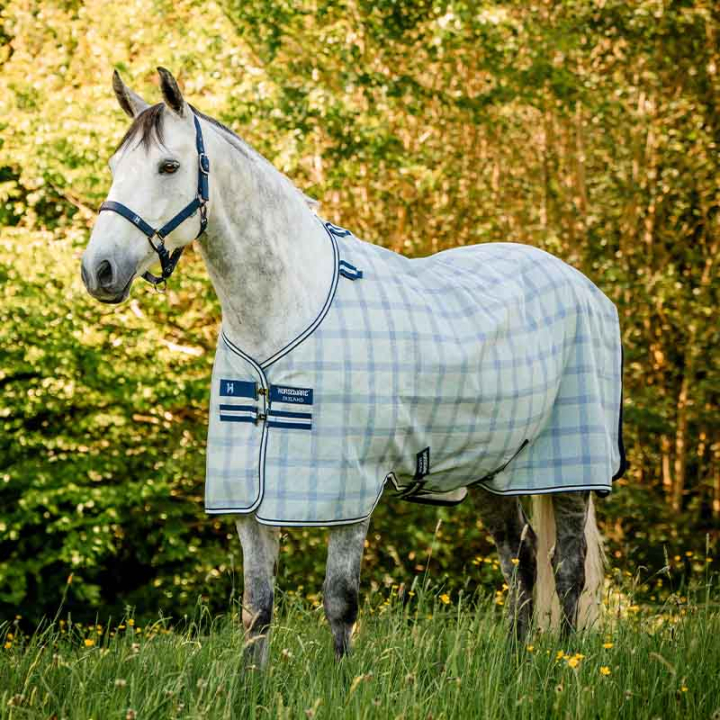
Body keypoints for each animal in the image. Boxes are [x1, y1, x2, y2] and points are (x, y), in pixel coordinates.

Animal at [81, 68, 626, 665]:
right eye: (115, 167)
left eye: (168, 166)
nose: (99, 270)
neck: (282, 311)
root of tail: (580, 283)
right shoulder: (250, 499)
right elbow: (256, 609)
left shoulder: (348, 492)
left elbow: (339, 601)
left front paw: (343, 680)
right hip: (490, 465)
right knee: (521, 558)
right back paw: (515, 658)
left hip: (569, 468)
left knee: (567, 568)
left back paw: (566, 662)